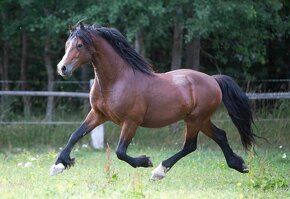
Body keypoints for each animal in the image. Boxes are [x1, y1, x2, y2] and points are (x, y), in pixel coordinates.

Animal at [51, 21, 255, 180]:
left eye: (79, 45)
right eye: (67, 44)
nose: (62, 68)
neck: (117, 80)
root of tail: (213, 80)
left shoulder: (131, 122)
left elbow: (120, 152)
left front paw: (145, 161)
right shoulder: (98, 114)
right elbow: (75, 135)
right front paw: (58, 165)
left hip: (195, 119)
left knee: (190, 145)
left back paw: (159, 171)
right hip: (201, 120)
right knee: (220, 135)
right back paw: (239, 165)